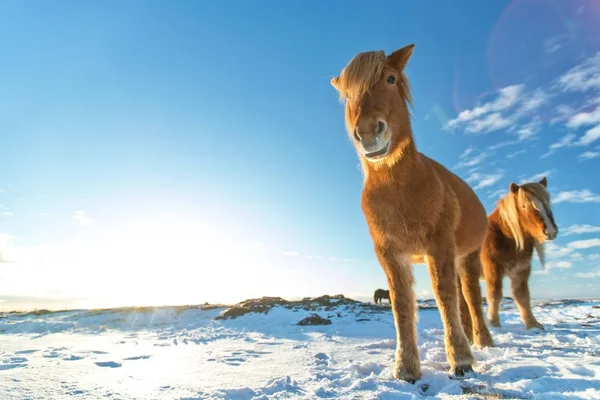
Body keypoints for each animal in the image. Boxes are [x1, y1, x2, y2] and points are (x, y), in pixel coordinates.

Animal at [330, 43, 494, 382]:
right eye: (348, 94)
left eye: (391, 79)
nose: (369, 132)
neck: (401, 192)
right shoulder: (391, 254)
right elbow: (402, 304)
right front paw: (406, 368)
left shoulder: (439, 246)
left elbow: (445, 297)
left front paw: (461, 360)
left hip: (468, 256)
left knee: (470, 295)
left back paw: (482, 340)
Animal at [480, 177, 560, 330]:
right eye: (523, 206)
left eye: (547, 203)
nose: (551, 231)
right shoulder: (493, 269)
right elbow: (494, 295)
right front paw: (493, 323)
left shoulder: (521, 270)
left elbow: (522, 296)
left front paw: (533, 324)